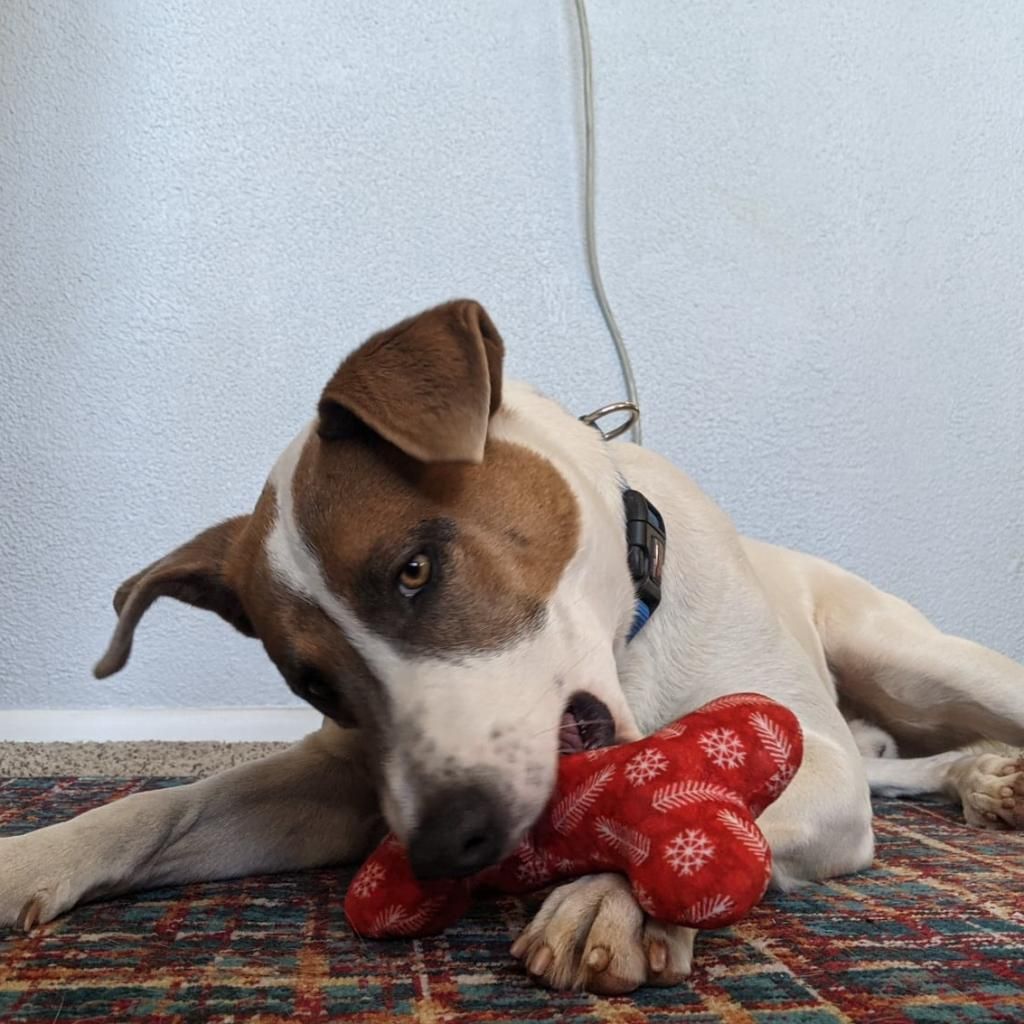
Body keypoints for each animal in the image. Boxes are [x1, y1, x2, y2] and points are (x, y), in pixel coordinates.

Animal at [2, 299, 1022, 993]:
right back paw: (978, 776)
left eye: (415, 569)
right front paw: (30, 856)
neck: (630, 636)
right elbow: (162, 807)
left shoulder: (815, 765)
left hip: (914, 660)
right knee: (898, 762)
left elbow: (729, 806)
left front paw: (609, 894)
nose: (445, 845)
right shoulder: (346, 784)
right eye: (313, 685)